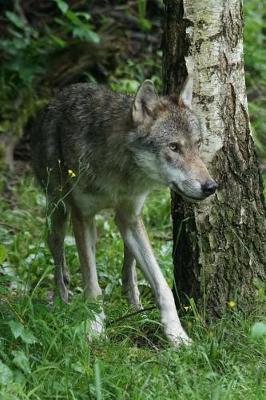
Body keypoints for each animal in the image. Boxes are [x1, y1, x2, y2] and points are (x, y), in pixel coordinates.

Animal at [30, 79, 218, 346]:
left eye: (198, 144)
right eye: (174, 147)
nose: (211, 187)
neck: (119, 171)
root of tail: (64, 91)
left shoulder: (130, 215)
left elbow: (163, 286)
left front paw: (177, 335)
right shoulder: (82, 217)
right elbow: (93, 285)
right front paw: (95, 328)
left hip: (128, 221)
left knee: (129, 265)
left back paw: (134, 305)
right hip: (58, 214)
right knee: (58, 255)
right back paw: (63, 298)